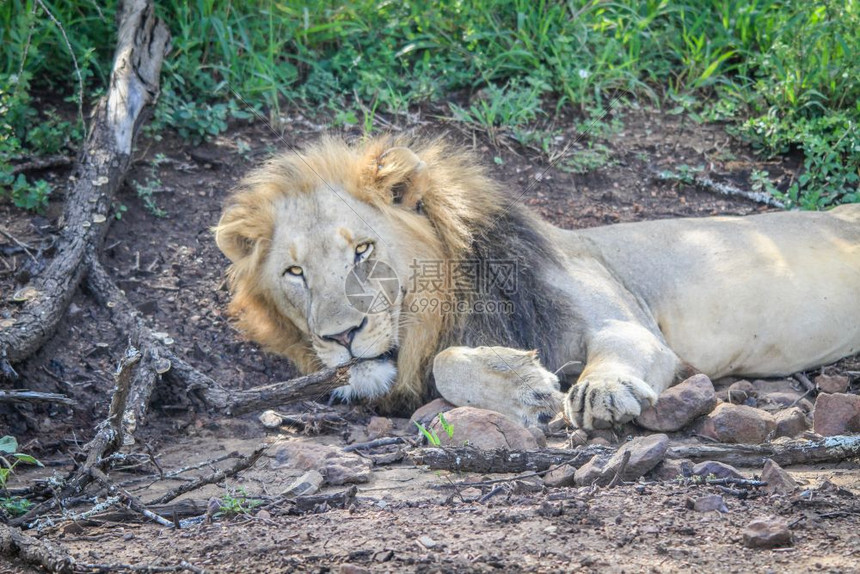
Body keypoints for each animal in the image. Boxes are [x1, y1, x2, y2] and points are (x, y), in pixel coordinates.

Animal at [217, 136, 860, 432]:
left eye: (362, 250)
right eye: (294, 272)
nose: (342, 336)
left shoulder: (630, 321)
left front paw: (598, 391)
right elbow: (446, 364)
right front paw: (526, 388)